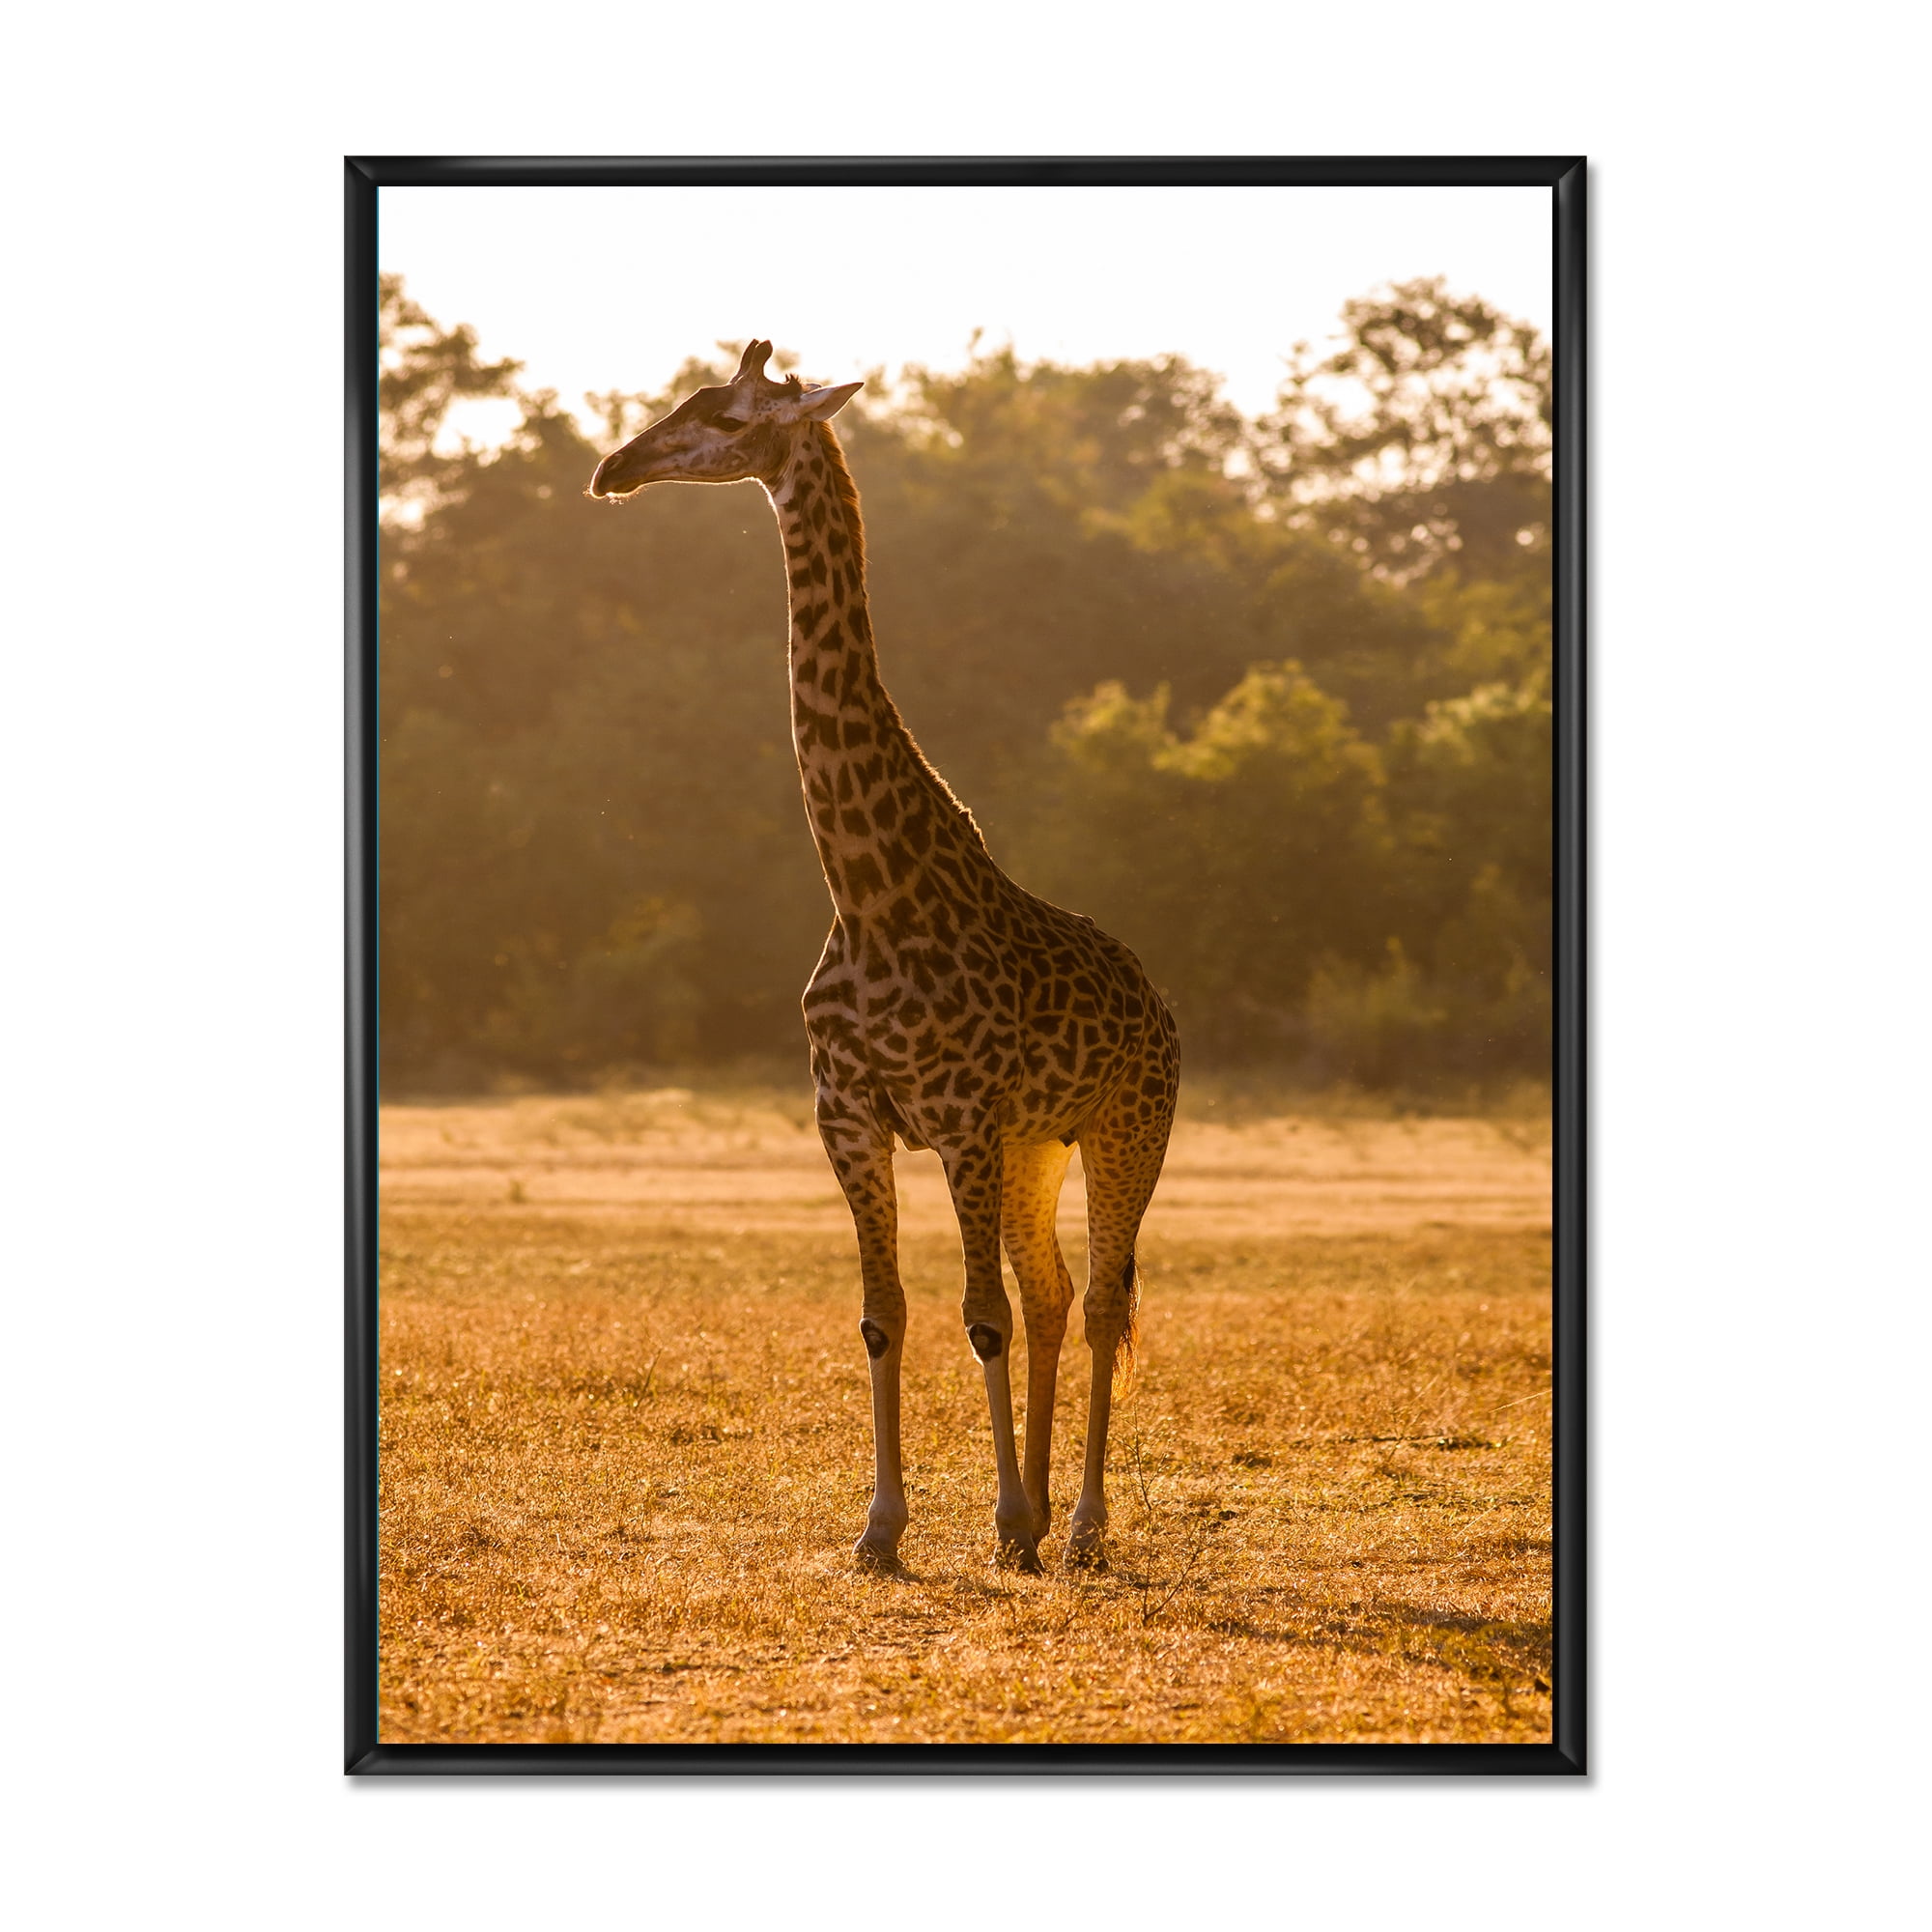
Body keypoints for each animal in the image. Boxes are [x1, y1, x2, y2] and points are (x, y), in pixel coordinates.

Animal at [587, 341, 1179, 1573]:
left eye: (725, 415)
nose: (614, 467)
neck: (865, 891)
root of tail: (1160, 1003)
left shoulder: (954, 1115)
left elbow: (974, 1316)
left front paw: (1001, 1519)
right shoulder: (851, 1116)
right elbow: (886, 1313)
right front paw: (885, 1527)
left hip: (1124, 1125)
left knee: (1099, 1300)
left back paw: (1078, 1525)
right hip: (1034, 1144)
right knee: (1050, 1293)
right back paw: (1038, 1515)